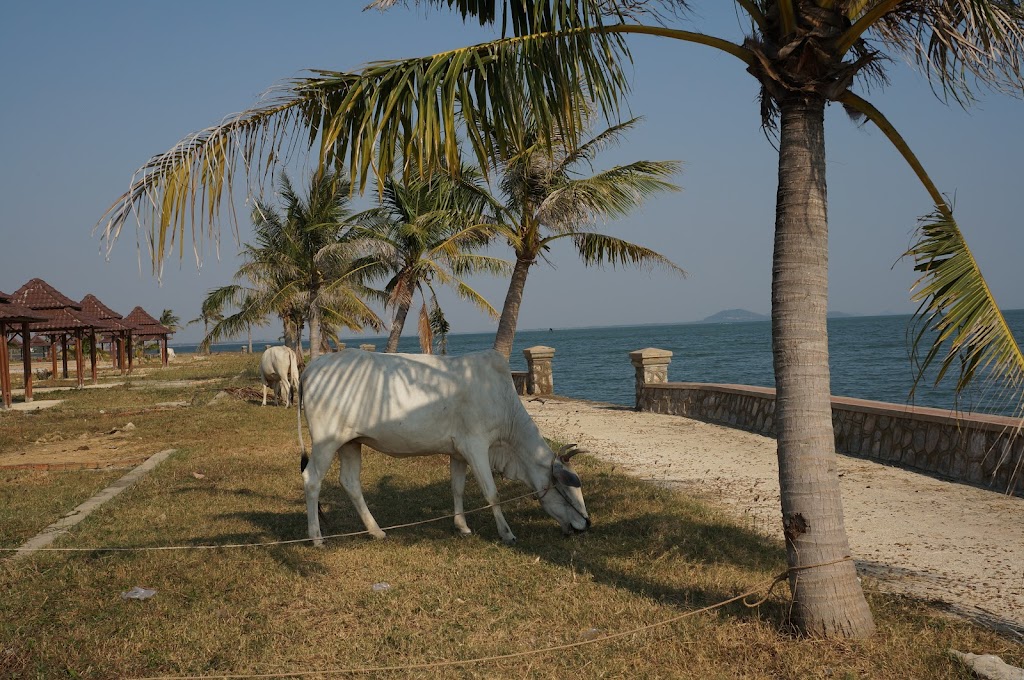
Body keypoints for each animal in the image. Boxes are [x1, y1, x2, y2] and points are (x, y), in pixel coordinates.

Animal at [299, 350, 589, 548]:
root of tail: (312, 365)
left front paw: (462, 526)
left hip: (350, 443)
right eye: (567, 490)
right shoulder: (476, 445)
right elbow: (492, 493)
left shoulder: (458, 452)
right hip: (326, 441)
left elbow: (457, 488)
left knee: (350, 482)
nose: (586, 525)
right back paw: (316, 537)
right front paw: (506, 533)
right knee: (312, 479)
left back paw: (376, 531)